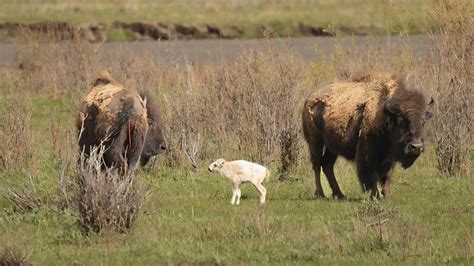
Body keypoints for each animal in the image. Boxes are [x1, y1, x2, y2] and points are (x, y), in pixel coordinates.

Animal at [304, 71, 434, 198]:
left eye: (423, 122)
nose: (416, 147)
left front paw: (387, 195)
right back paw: (320, 194)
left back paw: (340, 194)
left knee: (327, 165)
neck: (386, 114)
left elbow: (387, 174)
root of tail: (309, 98)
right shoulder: (369, 152)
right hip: (315, 141)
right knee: (317, 164)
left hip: (332, 146)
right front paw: (374, 194)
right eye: (402, 123)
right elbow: (372, 173)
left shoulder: (390, 156)